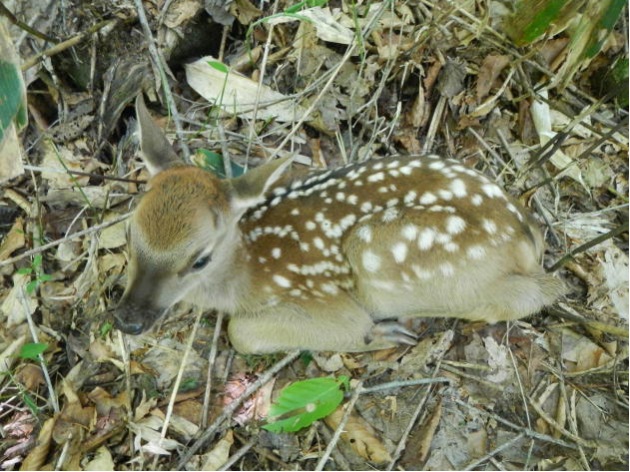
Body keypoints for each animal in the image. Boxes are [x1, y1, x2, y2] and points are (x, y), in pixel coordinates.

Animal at [115, 97, 568, 354]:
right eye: (129, 235)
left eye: (200, 259)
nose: (127, 320)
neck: (247, 270)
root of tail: (524, 236)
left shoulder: (322, 298)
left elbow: (241, 333)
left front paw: (373, 336)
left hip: (379, 252)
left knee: (542, 290)